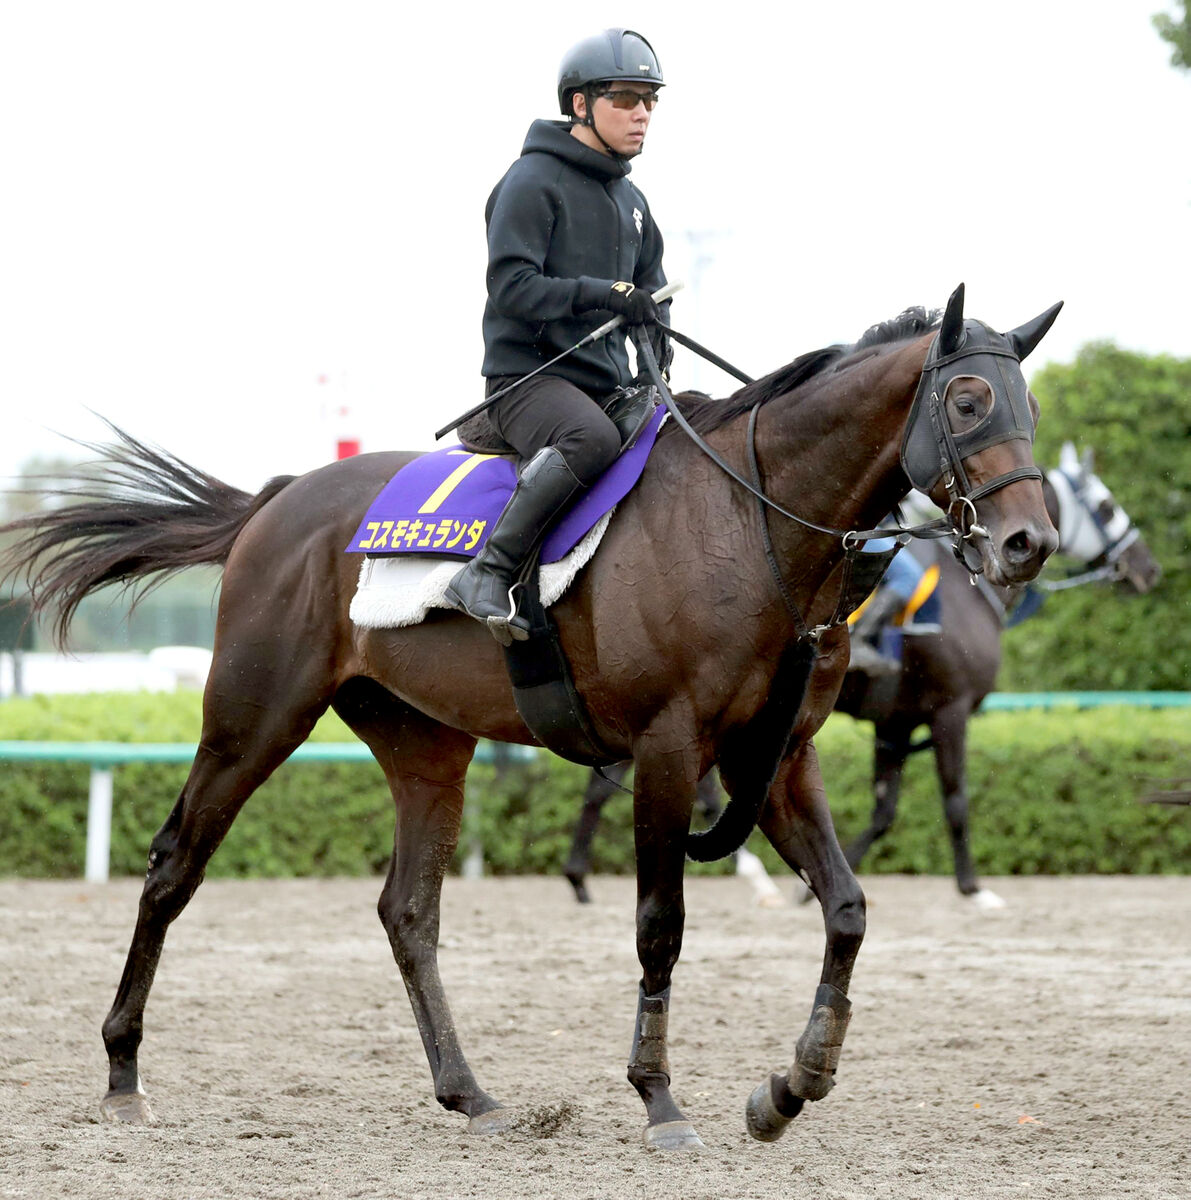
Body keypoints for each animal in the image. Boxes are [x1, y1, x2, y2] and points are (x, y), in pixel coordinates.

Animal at [0, 288, 1061, 1152]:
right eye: (968, 402)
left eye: (1032, 408)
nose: (1028, 542)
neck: (748, 522)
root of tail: (278, 498)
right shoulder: (670, 748)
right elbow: (660, 925)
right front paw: (658, 1097)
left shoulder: (777, 759)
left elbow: (845, 909)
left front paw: (791, 1085)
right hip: (251, 720)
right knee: (173, 866)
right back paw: (122, 1073)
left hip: (425, 744)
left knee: (408, 909)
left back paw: (466, 1092)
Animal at [559, 448, 1162, 907]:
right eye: (1106, 505)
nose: (1147, 568)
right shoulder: (949, 712)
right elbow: (955, 800)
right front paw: (972, 888)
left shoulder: (895, 723)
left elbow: (883, 810)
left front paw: (820, 880)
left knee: (604, 786)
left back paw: (580, 876)